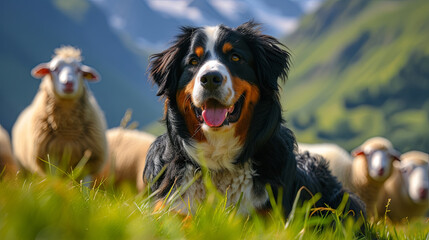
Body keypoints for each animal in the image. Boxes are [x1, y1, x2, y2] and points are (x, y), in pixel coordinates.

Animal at [11, 46, 107, 180]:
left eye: (79, 70)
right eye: (54, 69)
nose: (68, 83)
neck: (68, 130)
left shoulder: (89, 160)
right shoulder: (50, 157)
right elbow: (54, 179)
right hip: (24, 168)